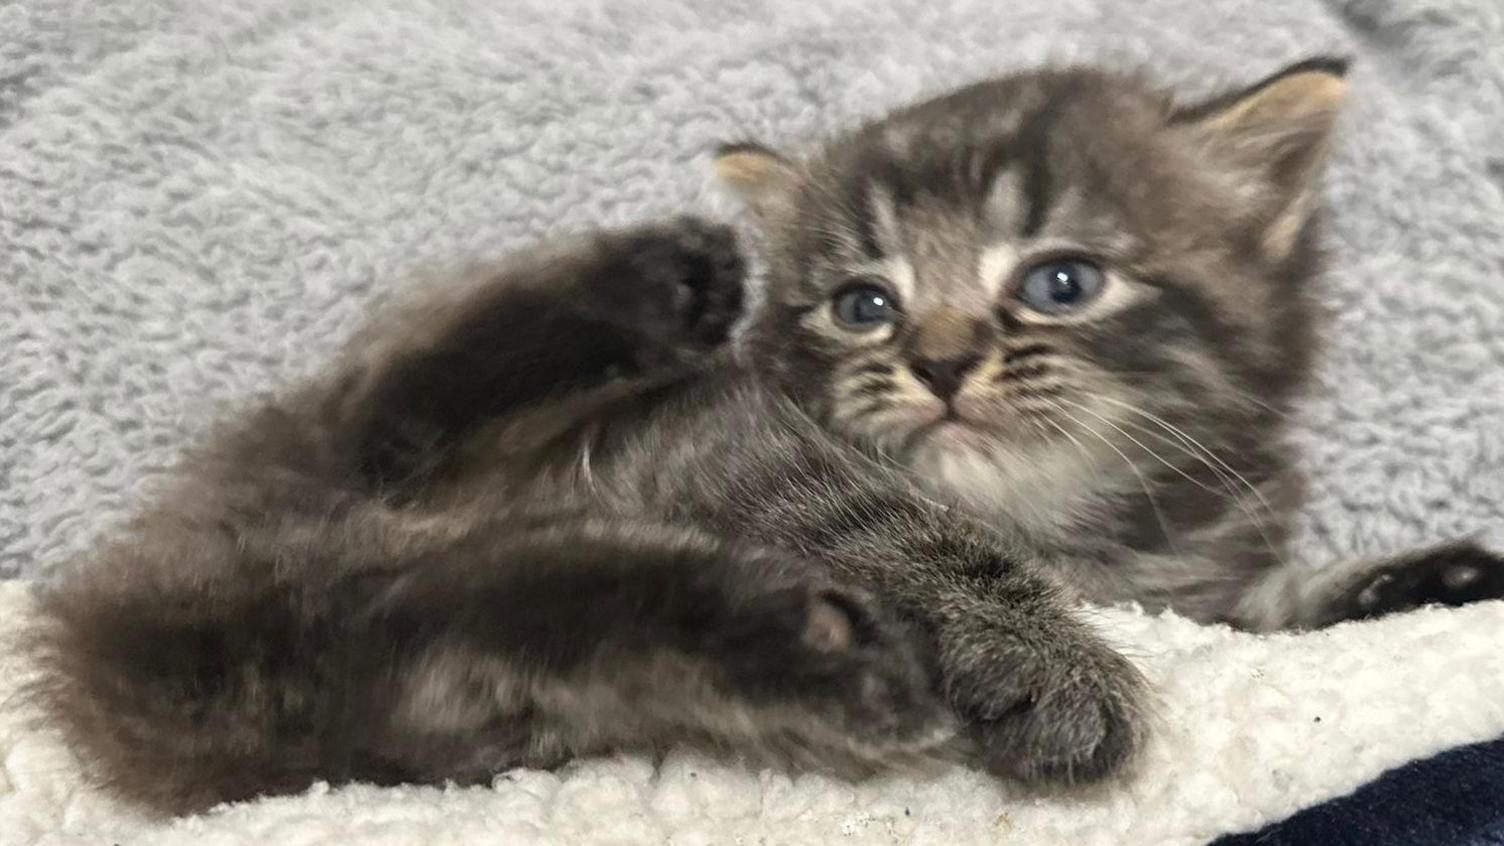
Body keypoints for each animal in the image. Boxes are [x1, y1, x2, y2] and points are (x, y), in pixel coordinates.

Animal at [26, 56, 1504, 812]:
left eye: (1061, 280)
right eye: (863, 305)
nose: (941, 363)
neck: (1072, 526)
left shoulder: (1188, 586)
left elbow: (1259, 617)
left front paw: (1412, 582)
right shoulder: (727, 439)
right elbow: (907, 525)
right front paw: (1040, 655)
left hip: (365, 677)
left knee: (453, 618)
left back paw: (800, 645)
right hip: (330, 505)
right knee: (383, 410)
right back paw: (654, 299)